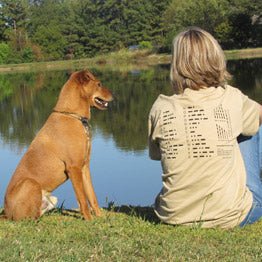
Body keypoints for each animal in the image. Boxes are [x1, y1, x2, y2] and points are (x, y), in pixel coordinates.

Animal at [2, 69, 113, 221]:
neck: (73, 115)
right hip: (30, 183)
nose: (113, 95)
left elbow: (92, 196)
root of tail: (6, 214)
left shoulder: (84, 167)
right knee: (30, 220)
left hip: (50, 199)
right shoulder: (74, 168)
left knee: (39, 215)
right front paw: (89, 219)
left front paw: (99, 217)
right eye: (99, 84)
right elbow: (82, 199)